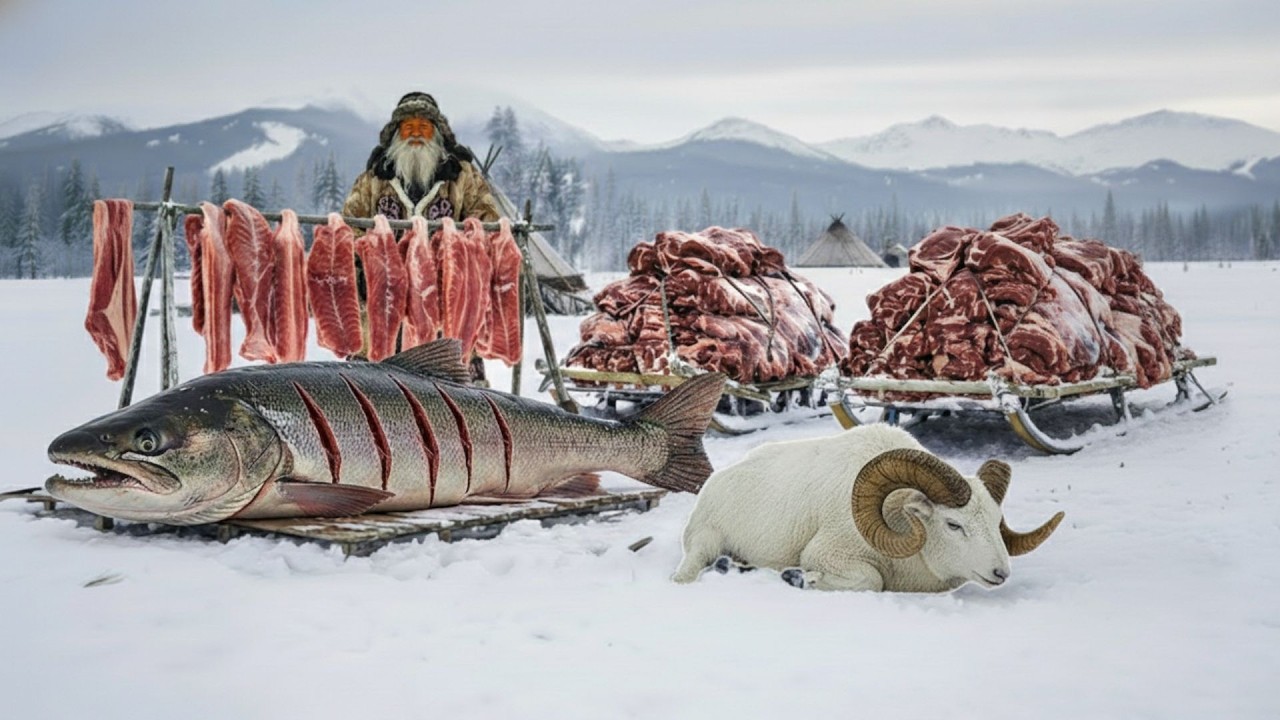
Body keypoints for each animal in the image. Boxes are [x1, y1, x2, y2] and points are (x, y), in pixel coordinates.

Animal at [672, 424, 1064, 592]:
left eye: (997, 522)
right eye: (954, 524)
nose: (1001, 573)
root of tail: (716, 481)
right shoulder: (827, 554)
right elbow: (871, 580)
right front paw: (797, 578)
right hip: (704, 541)